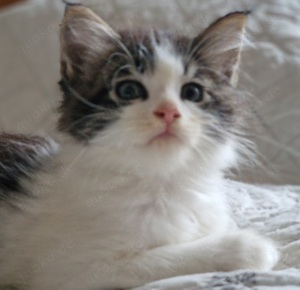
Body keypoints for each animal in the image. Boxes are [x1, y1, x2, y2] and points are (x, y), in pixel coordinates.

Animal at [0, 4, 278, 290]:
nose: (168, 112)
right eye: (129, 90)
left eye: (192, 93)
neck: (161, 181)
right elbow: (159, 258)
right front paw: (246, 247)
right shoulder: (73, 271)